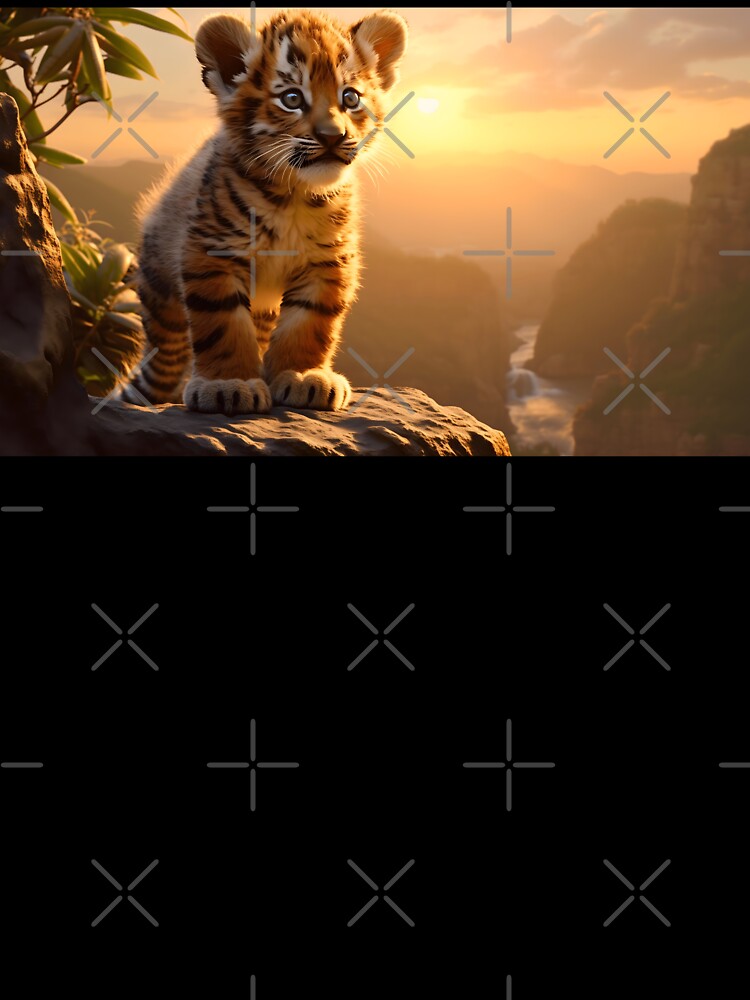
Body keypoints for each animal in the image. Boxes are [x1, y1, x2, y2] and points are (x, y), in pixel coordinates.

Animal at [119, 8, 408, 415]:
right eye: (292, 98)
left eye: (350, 98)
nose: (333, 136)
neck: (298, 195)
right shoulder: (213, 255)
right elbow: (223, 325)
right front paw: (229, 385)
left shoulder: (328, 263)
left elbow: (310, 324)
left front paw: (303, 376)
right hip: (162, 298)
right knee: (164, 360)